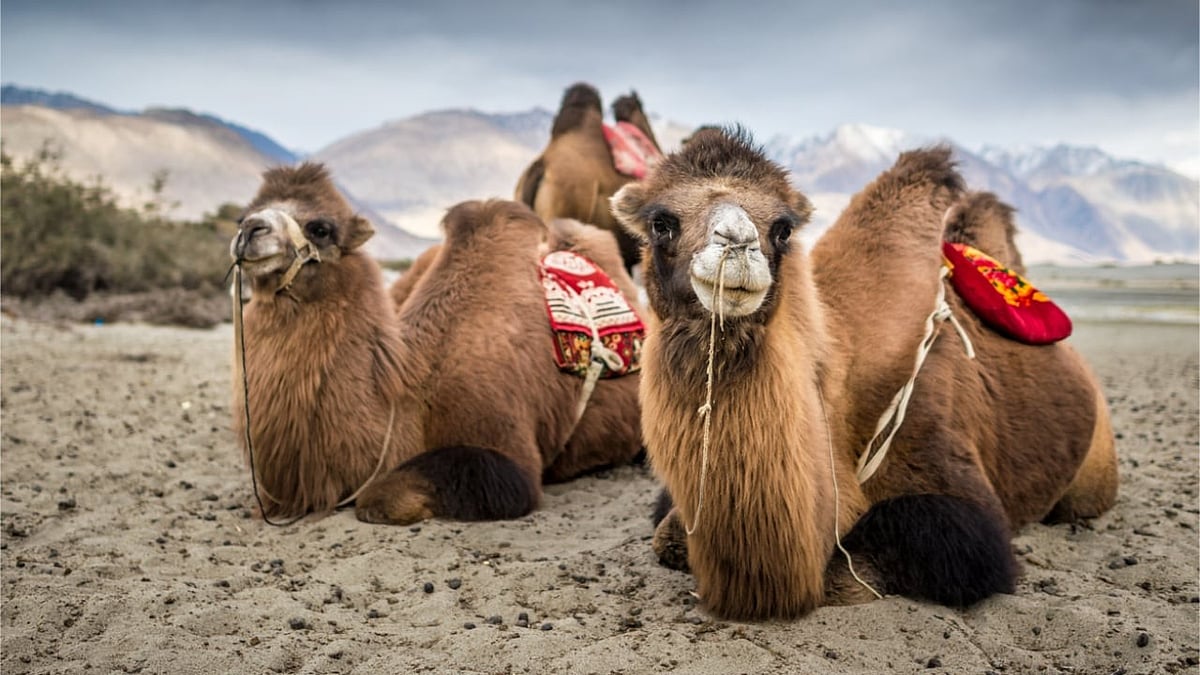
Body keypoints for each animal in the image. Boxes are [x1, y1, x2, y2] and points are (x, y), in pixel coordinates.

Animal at [230, 163, 644, 523]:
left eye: (320, 227)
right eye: (243, 215)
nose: (250, 230)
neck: (410, 397)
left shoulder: (504, 454)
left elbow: (379, 499)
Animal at [611, 128, 1117, 620]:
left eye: (782, 229)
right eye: (661, 223)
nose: (737, 245)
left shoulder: (946, 474)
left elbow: (854, 571)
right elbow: (666, 534)